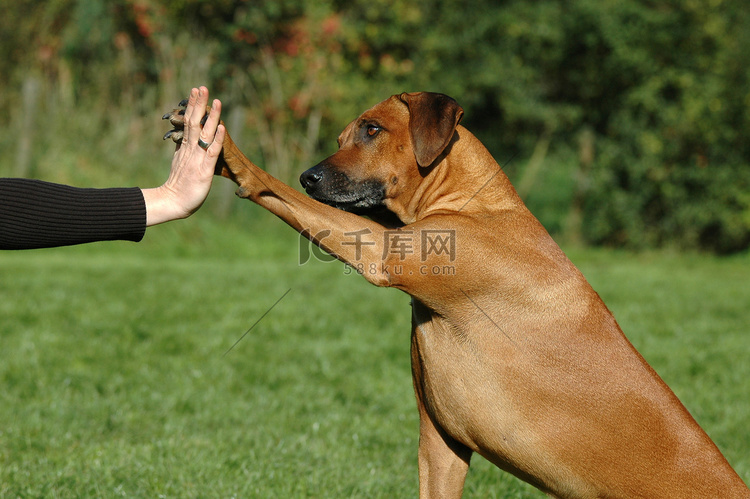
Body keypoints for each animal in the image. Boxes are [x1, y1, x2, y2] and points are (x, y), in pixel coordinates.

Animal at [166, 93, 750, 496]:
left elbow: (283, 195)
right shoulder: (441, 443)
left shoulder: (386, 254)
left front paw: (228, 154)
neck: (473, 204)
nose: (310, 175)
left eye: (372, 129)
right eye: (340, 137)